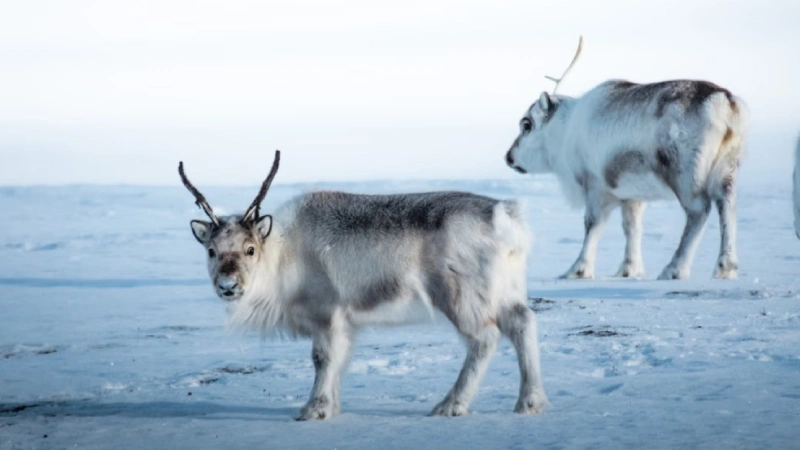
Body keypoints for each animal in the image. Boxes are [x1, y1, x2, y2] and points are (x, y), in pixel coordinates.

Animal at [179, 151, 547, 420]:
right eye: (211, 250)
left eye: (250, 249)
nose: (228, 285)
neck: (282, 255)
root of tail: (505, 217)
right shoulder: (345, 323)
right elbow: (341, 360)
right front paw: (331, 406)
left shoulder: (327, 314)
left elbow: (323, 358)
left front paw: (313, 409)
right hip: (506, 291)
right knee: (523, 322)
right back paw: (530, 402)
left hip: (461, 296)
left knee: (485, 338)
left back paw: (450, 405)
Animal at [505, 37, 748, 280]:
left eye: (527, 124)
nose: (509, 157)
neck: (564, 132)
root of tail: (725, 103)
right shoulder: (632, 195)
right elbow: (632, 227)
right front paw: (629, 270)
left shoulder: (595, 186)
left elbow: (593, 225)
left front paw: (578, 270)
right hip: (728, 167)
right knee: (727, 205)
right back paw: (726, 267)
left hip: (686, 173)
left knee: (699, 211)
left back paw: (674, 269)